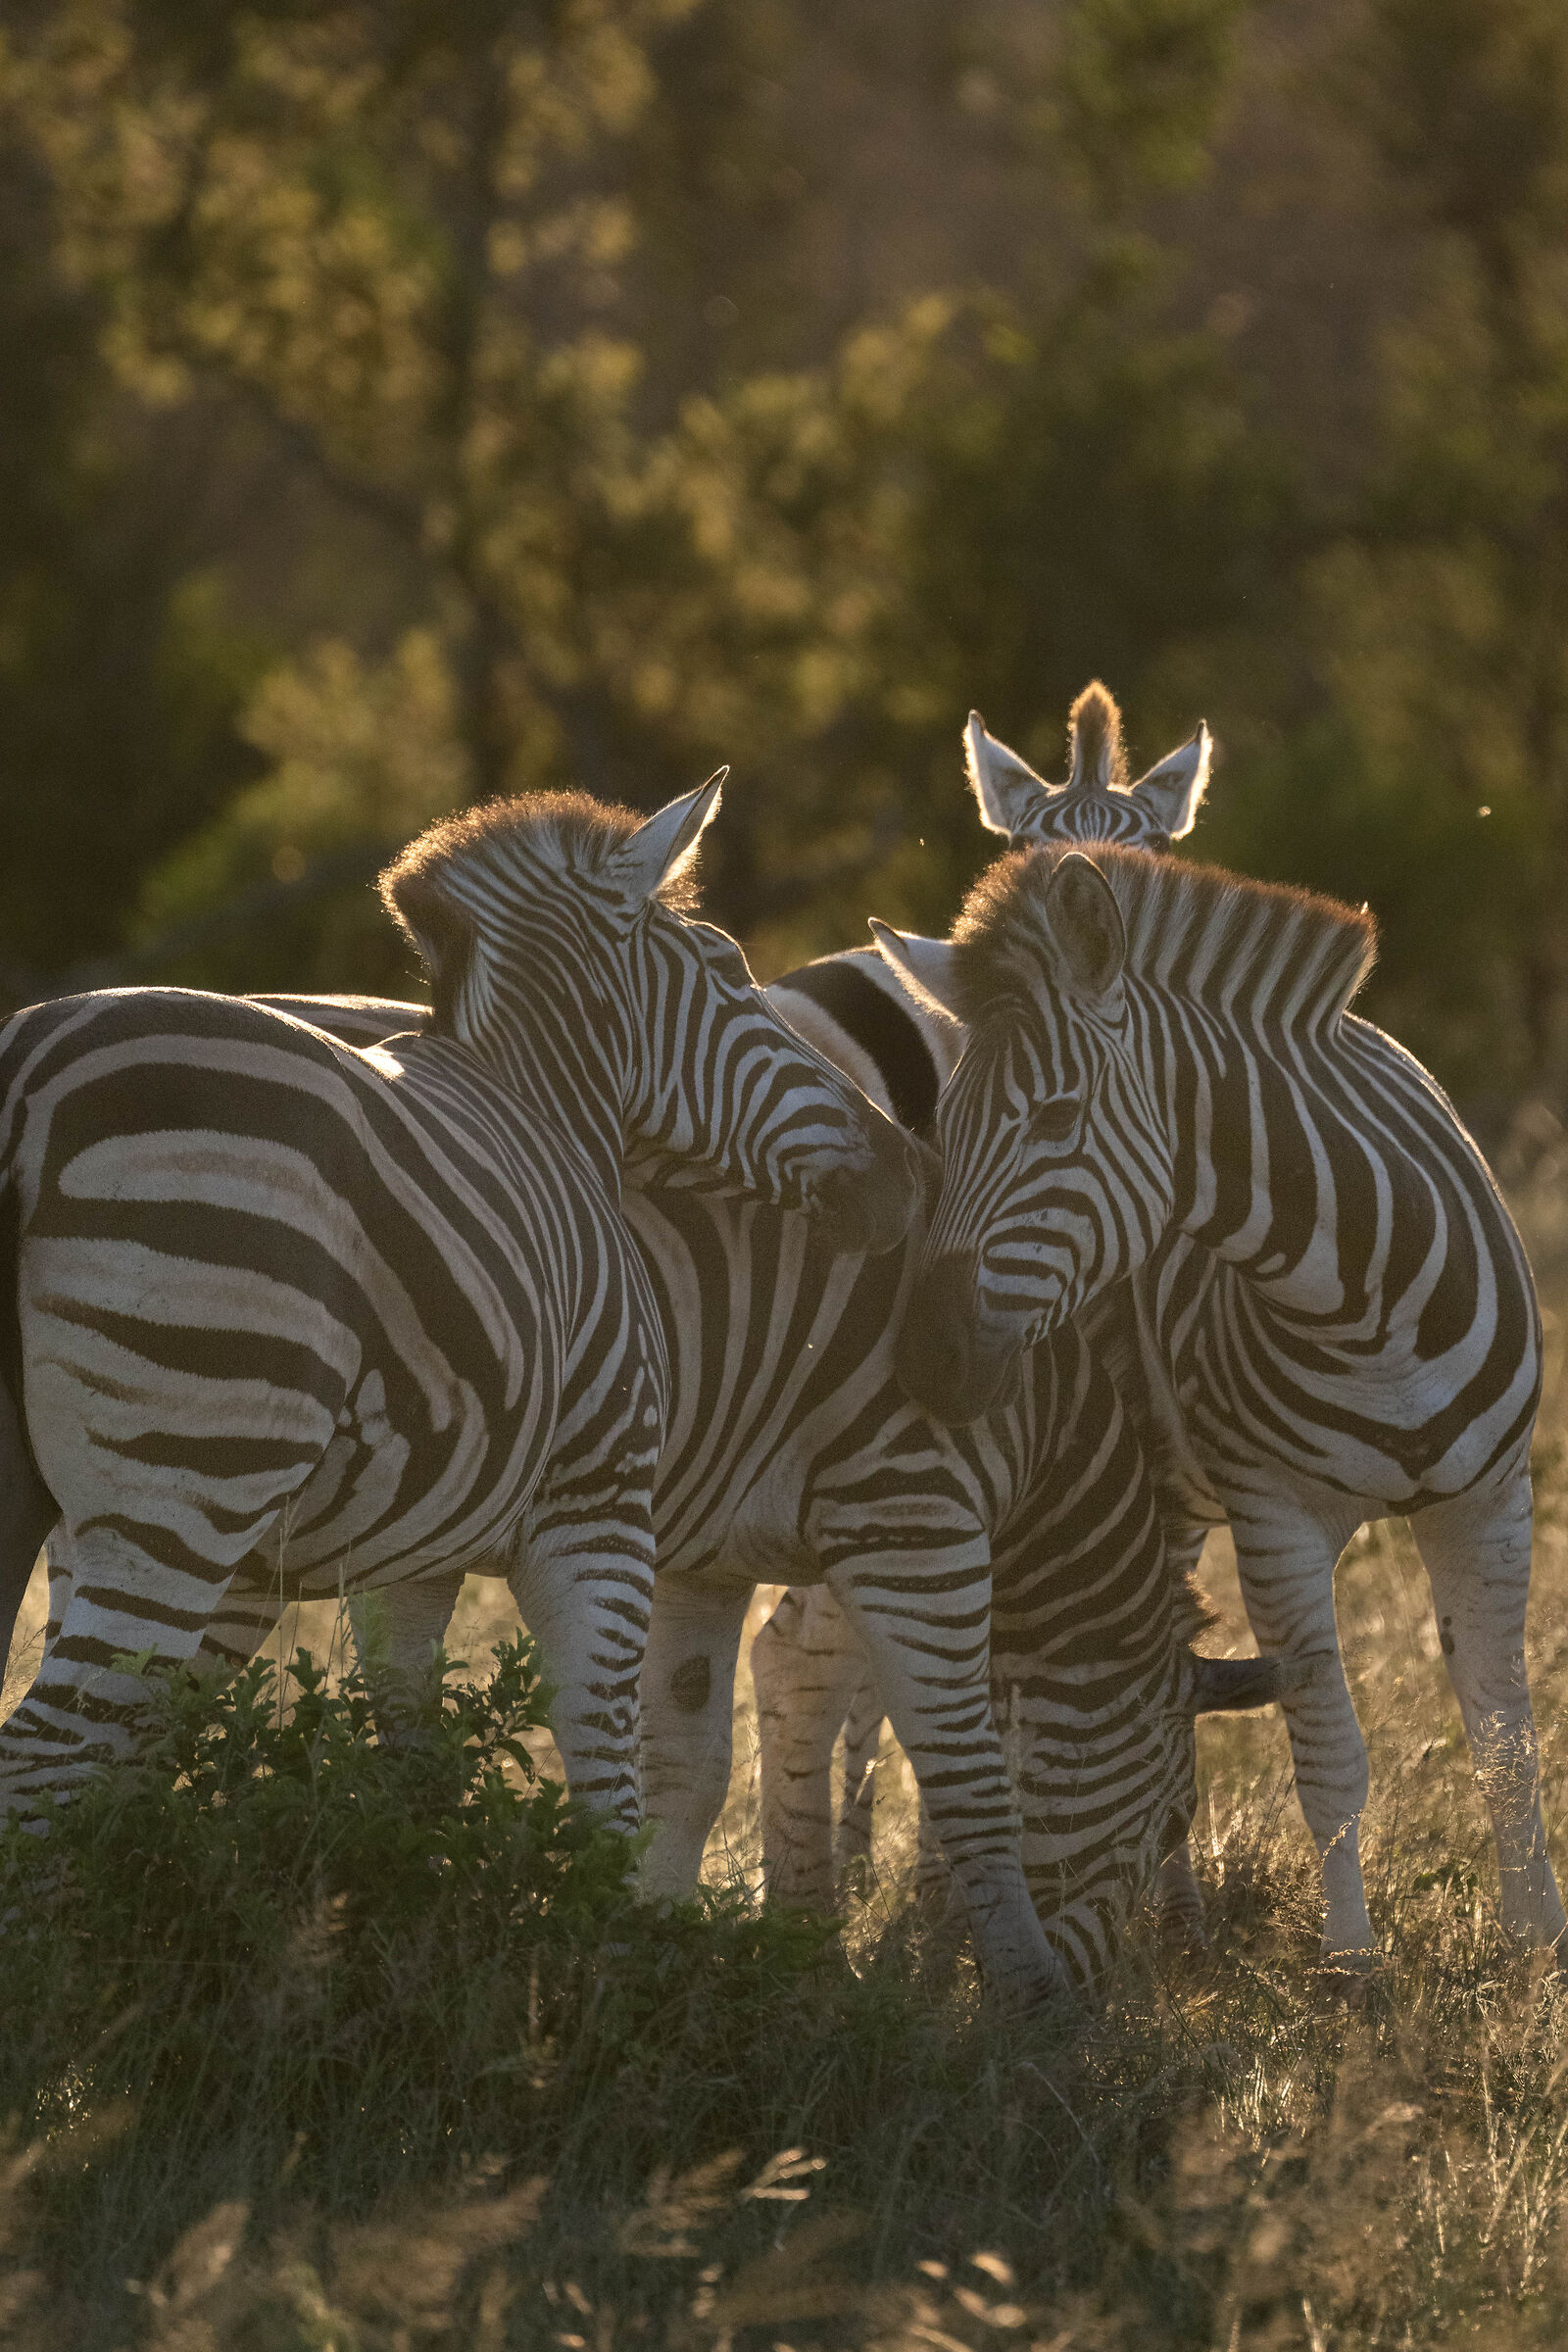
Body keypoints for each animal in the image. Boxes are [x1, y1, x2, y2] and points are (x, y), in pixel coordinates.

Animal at [0, 780, 924, 1858]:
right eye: (732, 974)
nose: (907, 1172)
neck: (544, 1107)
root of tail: (29, 1075)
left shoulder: (413, 1551)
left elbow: (406, 1753)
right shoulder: (600, 1502)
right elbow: (605, 1777)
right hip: (186, 1478)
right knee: (44, 1764)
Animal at [876, 819, 1565, 1971]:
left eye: (1055, 1118)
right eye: (941, 1133)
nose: (926, 1362)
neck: (1368, 1304)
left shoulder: (1492, 1503)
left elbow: (1506, 1737)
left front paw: (1535, 1945)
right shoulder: (1276, 1520)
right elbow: (1329, 1755)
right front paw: (1352, 1967)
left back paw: (1175, 1917)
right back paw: (956, 1911)